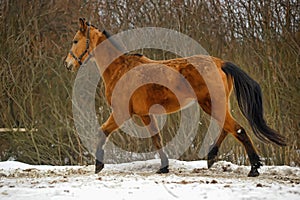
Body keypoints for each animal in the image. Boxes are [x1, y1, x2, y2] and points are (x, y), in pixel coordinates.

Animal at [63, 17, 286, 177]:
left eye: (75, 40)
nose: (67, 64)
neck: (121, 70)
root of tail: (220, 63)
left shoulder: (121, 113)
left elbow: (103, 132)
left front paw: (98, 165)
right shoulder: (145, 115)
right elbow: (157, 139)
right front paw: (164, 166)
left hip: (210, 104)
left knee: (237, 130)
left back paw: (254, 168)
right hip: (216, 105)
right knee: (227, 128)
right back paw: (211, 158)